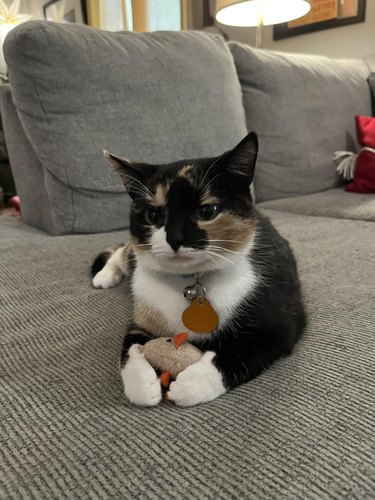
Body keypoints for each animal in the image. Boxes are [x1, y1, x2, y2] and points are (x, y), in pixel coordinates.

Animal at [92, 132, 306, 406]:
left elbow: (240, 354)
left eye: (207, 211)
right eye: (152, 215)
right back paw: (104, 275)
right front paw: (142, 384)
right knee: (123, 250)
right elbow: (128, 348)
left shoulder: (280, 323)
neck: (189, 283)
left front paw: (193, 383)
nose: (174, 238)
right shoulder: (142, 314)